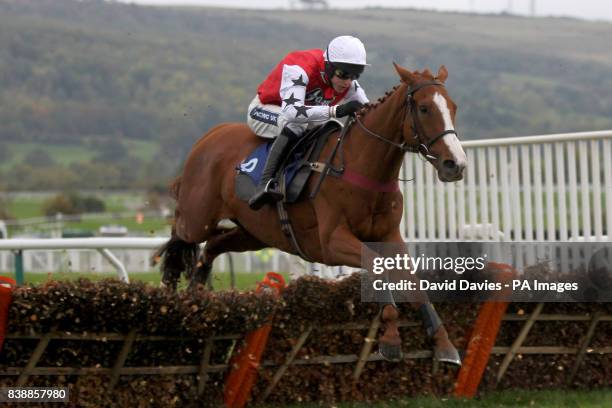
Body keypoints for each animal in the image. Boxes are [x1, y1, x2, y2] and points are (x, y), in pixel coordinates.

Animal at [155, 61, 466, 364]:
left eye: (453, 107)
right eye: (424, 108)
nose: (456, 164)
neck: (360, 167)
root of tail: (209, 136)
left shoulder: (389, 235)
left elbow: (413, 282)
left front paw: (444, 343)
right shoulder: (330, 242)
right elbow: (376, 264)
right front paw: (390, 337)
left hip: (255, 234)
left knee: (212, 247)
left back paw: (195, 296)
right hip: (197, 219)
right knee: (178, 243)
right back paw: (169, 300)